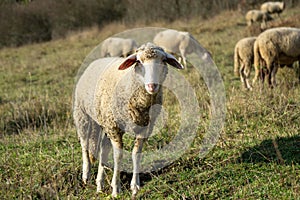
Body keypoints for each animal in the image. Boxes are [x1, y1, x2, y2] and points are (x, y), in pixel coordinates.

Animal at [74, 43, 184, 198]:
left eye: (163, 61)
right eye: (139, 61)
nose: (152, 85)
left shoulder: (144, 128)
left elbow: (136, 154)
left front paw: (135, 186)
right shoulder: (115, 127)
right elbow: (118, 156)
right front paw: (116, 189)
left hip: (105, 122)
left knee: (103, 150)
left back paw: (99, 184)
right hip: (82, 114)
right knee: (84, 144)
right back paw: (86, 174)